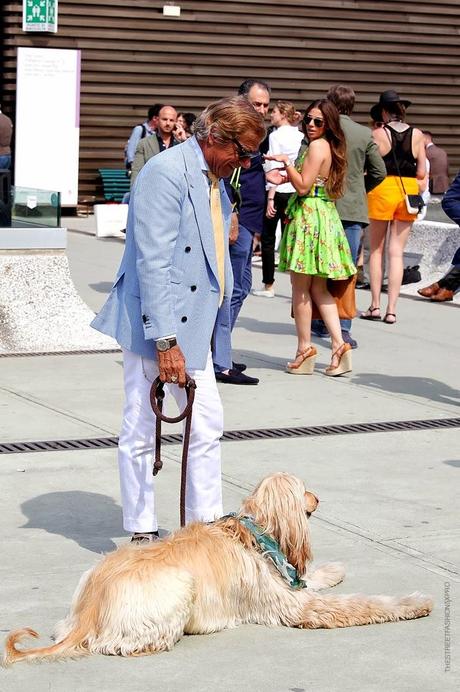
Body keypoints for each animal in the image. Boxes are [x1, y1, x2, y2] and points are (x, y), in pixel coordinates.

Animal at [1, 470, 432, 664]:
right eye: (302, 489)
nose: (318, 497)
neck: (256, 532)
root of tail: (89, 611)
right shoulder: (295, 606)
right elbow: (359, 604)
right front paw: (413, 602)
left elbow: (310, 580)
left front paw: (332, 571)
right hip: (178, 587)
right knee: (119, 644)